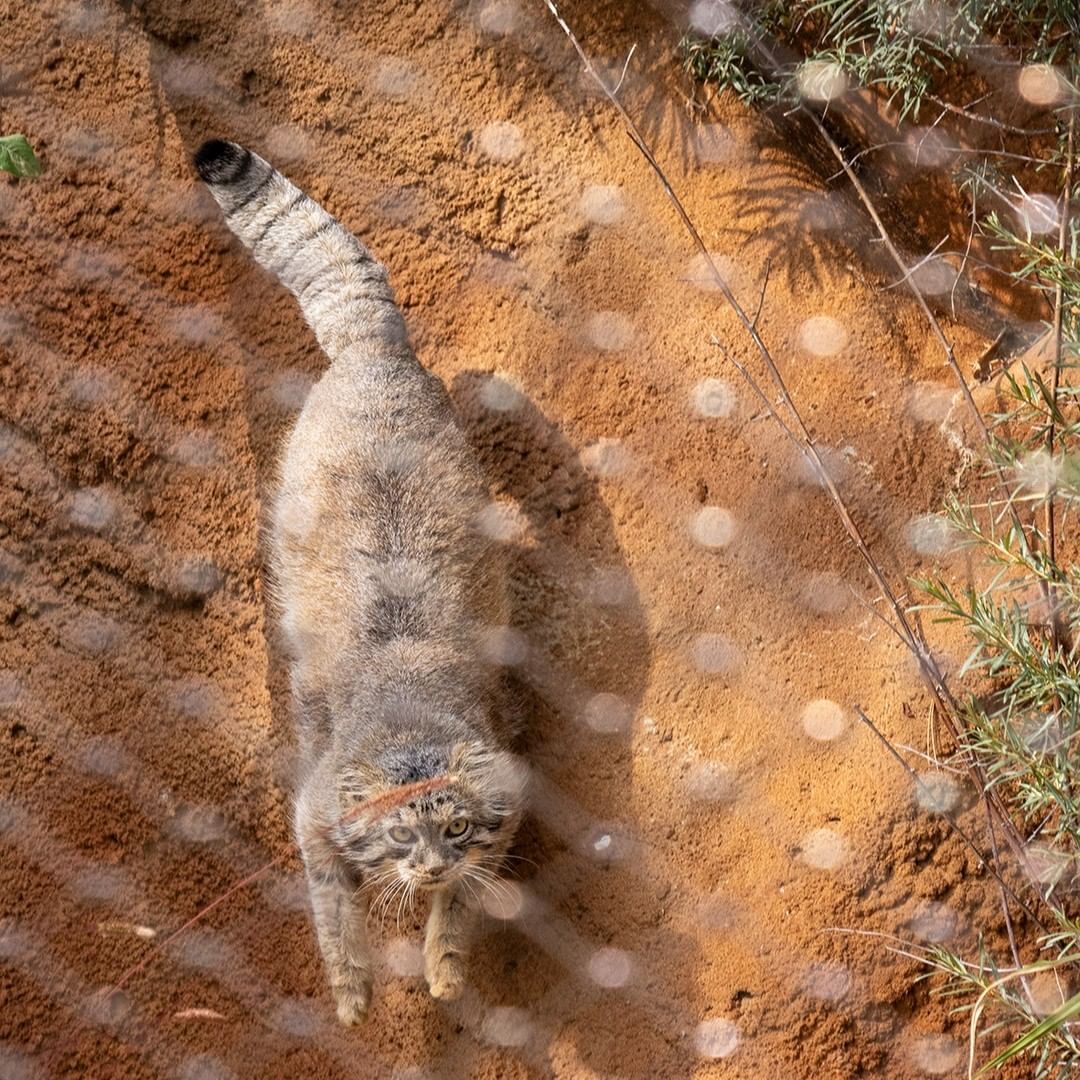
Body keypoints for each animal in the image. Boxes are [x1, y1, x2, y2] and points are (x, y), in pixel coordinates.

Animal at [199, 139, 531, 1023]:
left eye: (455, 830)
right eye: (398, 835)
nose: (430, 864)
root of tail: (375, 351)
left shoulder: (504, 802)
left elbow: (464, 901)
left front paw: (444, 959)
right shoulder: (312, 818)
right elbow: (331, 906)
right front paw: (351, 988)